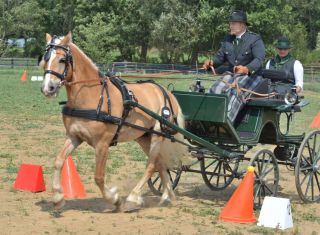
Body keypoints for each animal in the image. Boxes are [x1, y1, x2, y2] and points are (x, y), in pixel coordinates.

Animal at [40, 32, 190, 212]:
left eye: (62, 59)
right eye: (45, 58)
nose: (48, 88)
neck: (92, 95)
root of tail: (165, 91)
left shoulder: (102, 144)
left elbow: (98, 177)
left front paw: (115, 199)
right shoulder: (74, 136)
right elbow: (58, 161)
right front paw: (57, 197)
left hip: (157, 135)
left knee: (151, 166)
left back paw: (133, 198)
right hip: (143, 137)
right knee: (160, 164)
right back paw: (167, 196)